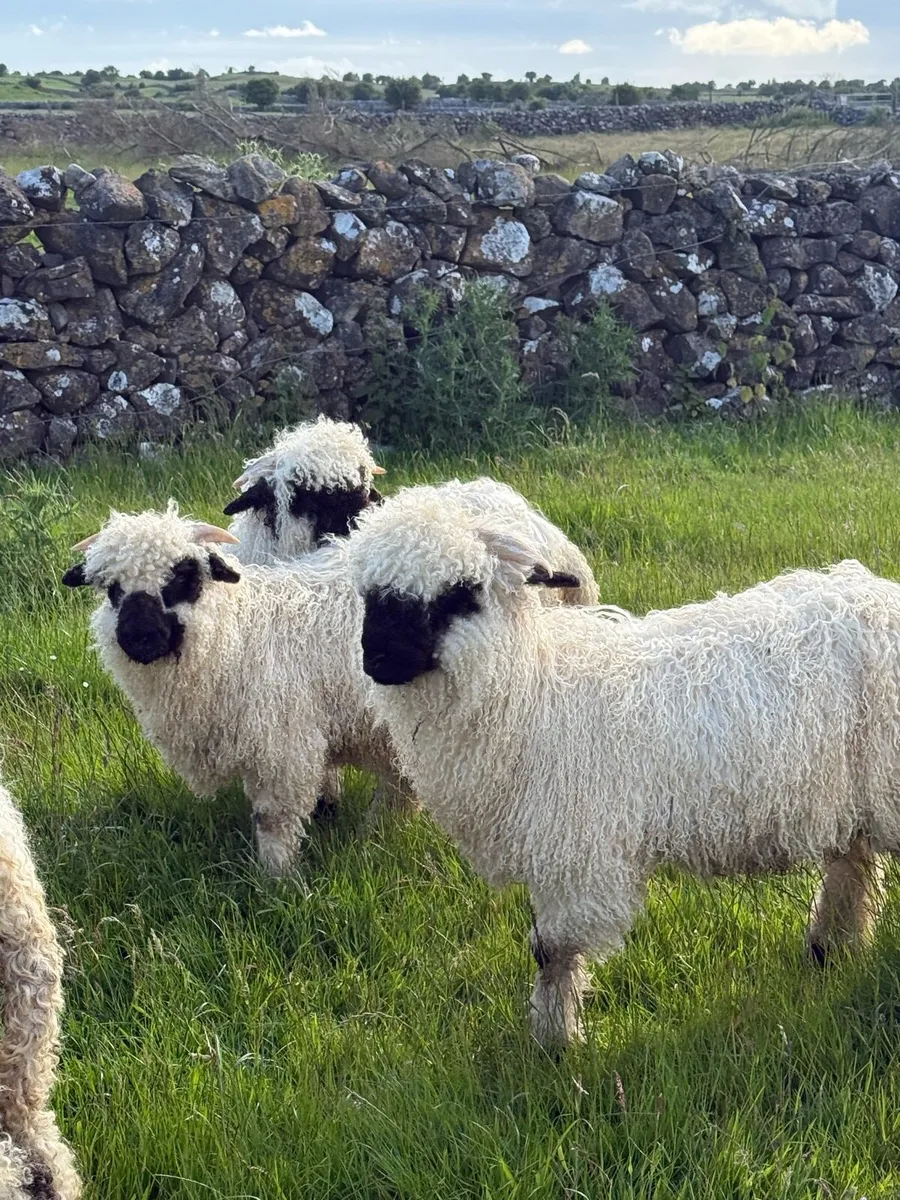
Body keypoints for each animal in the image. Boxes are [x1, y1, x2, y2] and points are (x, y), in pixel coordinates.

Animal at [61, 503, 414, 875]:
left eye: (183, 577)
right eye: (112, 588)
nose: (139, 637)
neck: (238, 637)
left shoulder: (282, 745)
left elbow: (273, 819)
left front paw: (277, 876)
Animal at [347, 486, 900, 1047]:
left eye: (462, 593)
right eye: (370, 595)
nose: (377, 660)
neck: (530, 694)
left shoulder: (576, 855)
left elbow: (553, 951)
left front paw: (555, 1043)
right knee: (854, 865)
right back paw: (831, 950)